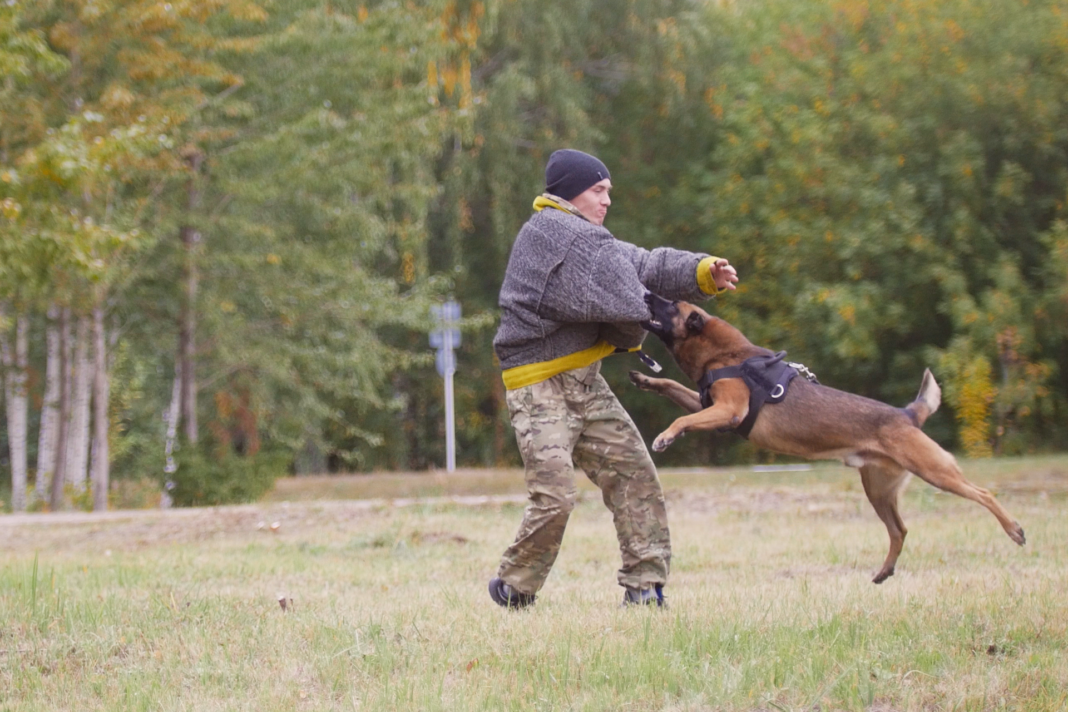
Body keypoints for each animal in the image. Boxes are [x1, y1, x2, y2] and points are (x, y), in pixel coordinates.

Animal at [627, 292, 1021, 580]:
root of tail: (907, 414)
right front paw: (646, 380)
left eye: (669, 304)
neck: (726, 354)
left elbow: (682, 417)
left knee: (983, 493)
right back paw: (884, 570)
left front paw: (665, 437)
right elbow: (672, 387)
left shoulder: (729, 410)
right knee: (900, 530)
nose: (645, 292)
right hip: (878, 490)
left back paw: (1014, 528)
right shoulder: (710, 406)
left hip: (934, 471)